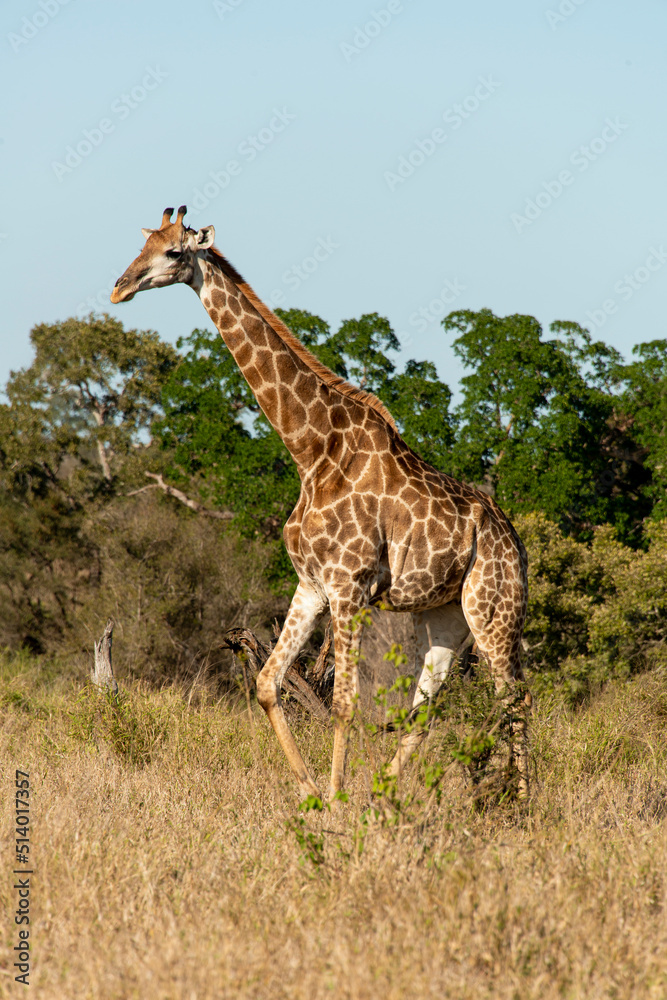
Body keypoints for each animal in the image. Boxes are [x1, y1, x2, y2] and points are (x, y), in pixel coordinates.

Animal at [110, 206, 531, 800]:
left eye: (172, 252)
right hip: (446, 614)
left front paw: (335, 802)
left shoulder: (349, 588)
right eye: (142, 244)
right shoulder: (311, 584)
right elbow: (268, 683)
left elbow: (344, 703)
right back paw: (386, 794)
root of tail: (517, 545)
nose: (119, 288)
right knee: (429, 707)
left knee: (514, 696)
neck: (310, 451)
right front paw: (312, 789)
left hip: (494, 610)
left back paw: (520, 803)